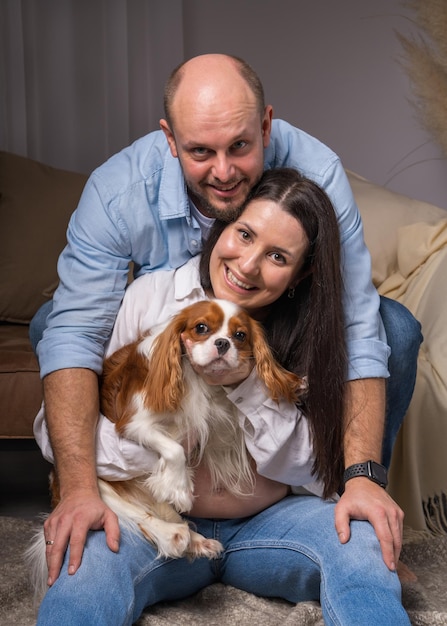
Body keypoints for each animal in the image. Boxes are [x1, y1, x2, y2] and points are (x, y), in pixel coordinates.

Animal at [25, 300, 304, 596]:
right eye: (201, 328)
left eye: (240, 335)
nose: (222, 343)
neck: (194, 376)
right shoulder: (134, 424)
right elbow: (174, 449)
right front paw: (180, 488)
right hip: (99, 488)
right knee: (142, 517)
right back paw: (174, 535)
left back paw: (196, 540)